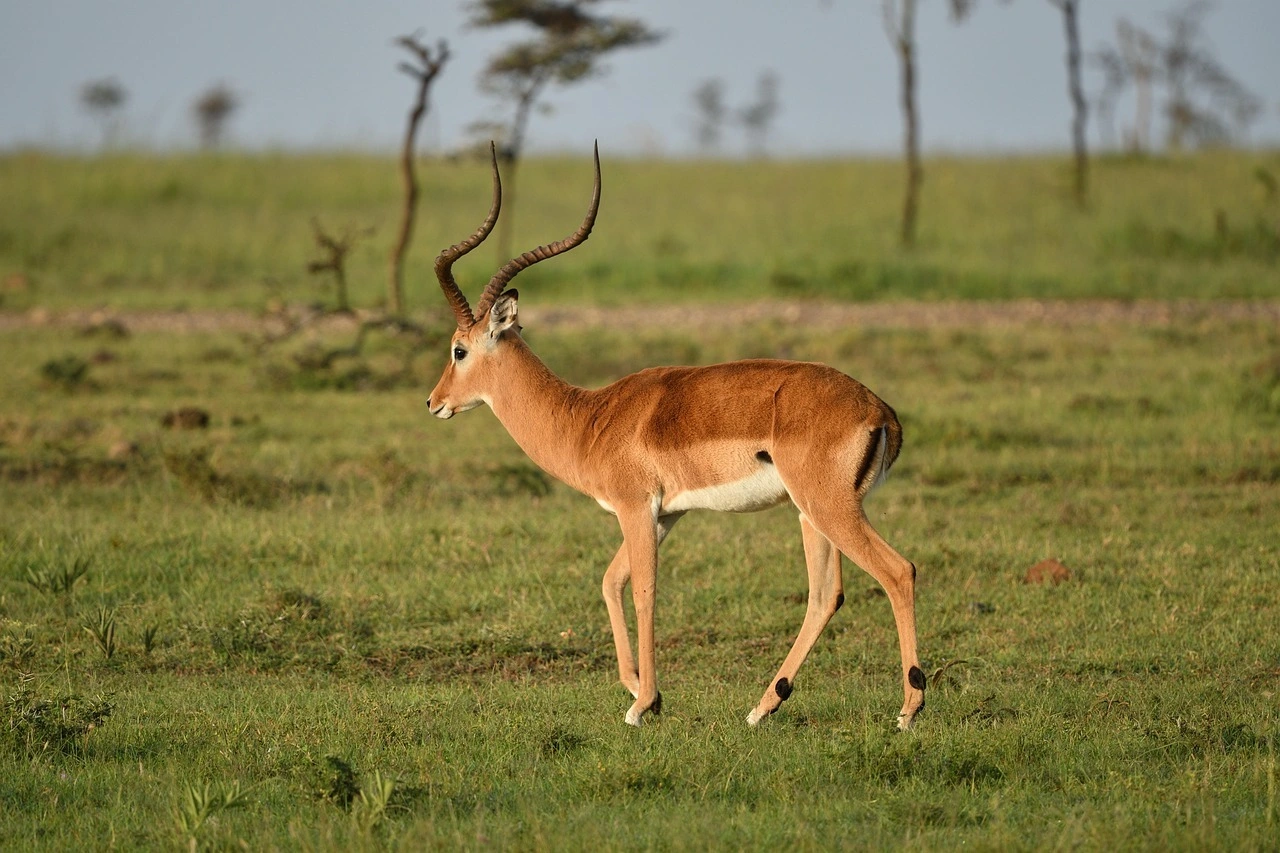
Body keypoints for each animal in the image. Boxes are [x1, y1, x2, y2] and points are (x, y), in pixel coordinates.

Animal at [427, 144, 926, 730]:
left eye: (459, 349)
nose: (434, 402)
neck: (590, 419)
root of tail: (879, 409)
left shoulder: (635, 507)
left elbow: (643, 591)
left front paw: (643, 703)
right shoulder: (666, 513)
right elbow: (610, 580)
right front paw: (636, 687)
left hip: (831, 508)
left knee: (898, 571)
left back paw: (909, 708)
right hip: (811, 513)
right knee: (827, 594)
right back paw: (763, 706)